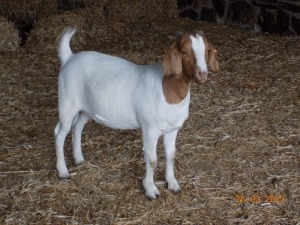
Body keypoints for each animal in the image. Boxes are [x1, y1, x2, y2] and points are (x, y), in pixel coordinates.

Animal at [54, 27, 219, 199]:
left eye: (207, 50)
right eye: (184, 51)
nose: (202, 74)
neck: (167, 90)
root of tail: (70, 58)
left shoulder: (172, 129)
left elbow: (171, 155)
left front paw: (172, 183)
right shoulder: (150, 129)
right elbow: (152, 160)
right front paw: (150, 189)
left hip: (87, 109)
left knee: (77, 126)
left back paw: (79, 158)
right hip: (67, 103)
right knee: (60, 132)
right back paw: (63, 171)